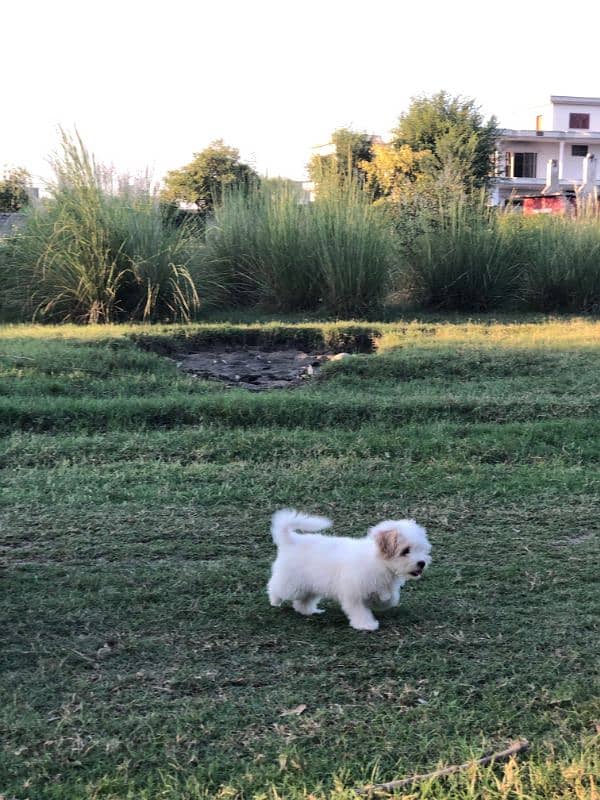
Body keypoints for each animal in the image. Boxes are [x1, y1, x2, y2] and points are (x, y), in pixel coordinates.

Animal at [268, 512, 432, 632]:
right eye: (405, 551)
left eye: (421, 549)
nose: (422, 563)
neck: (379, 562)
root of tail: (291, 540)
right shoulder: (353, 593)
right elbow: (360, 610)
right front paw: (366, 625)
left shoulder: (383, 587)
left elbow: (390, 599)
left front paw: (381, 602)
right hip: (291, 584)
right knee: (276, 588)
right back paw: (274, 600)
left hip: (310, 585)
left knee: (303, 601)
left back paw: (309, 611)